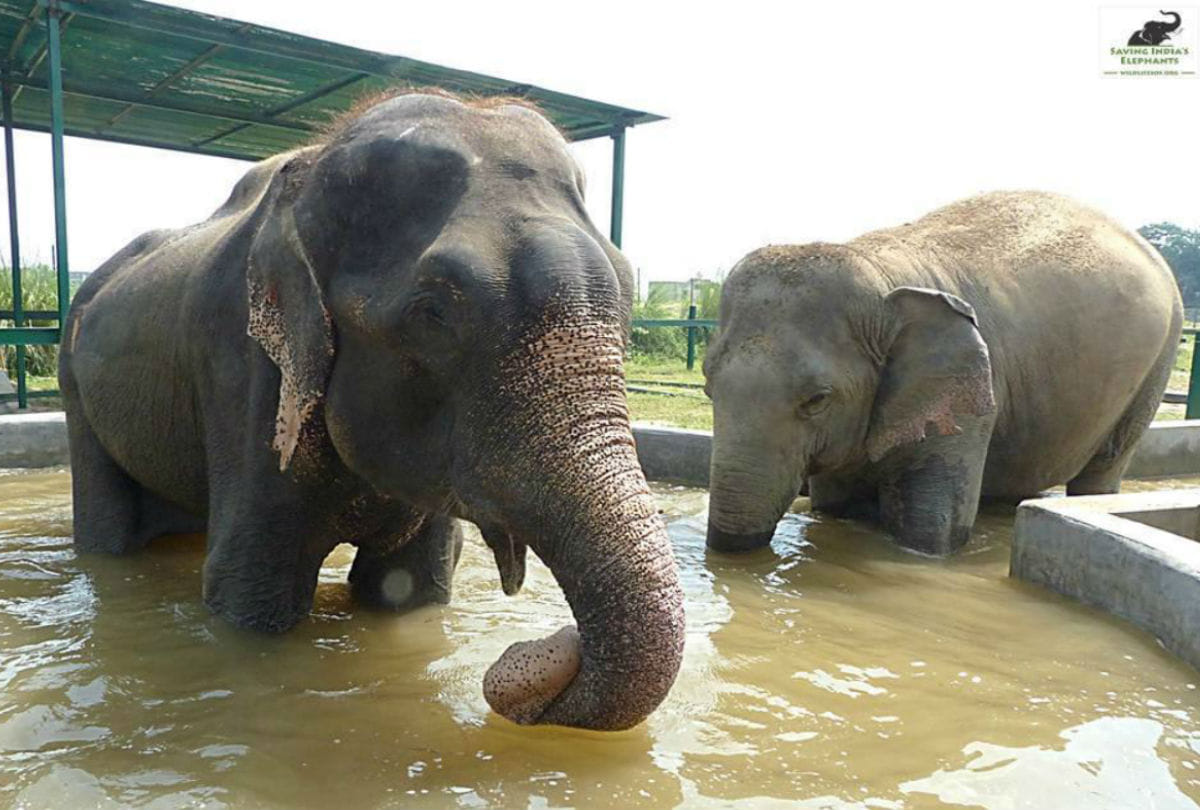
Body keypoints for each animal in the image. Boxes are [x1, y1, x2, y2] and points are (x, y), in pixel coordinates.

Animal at [58, 91, 685, 731]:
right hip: (70, 378)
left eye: (630, 295)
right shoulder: (240, 368)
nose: (542, 646)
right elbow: (250, 587)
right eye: (433, 313)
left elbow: (411, 587)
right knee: (107, 528)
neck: (311, 173)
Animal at [704, 191, 1182, 556]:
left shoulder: (968, 398)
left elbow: (929, 531)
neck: (879, 271)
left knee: (1105, 465)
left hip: (1159, 359)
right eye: (709, 388)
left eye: (817, 400)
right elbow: (835, 506)